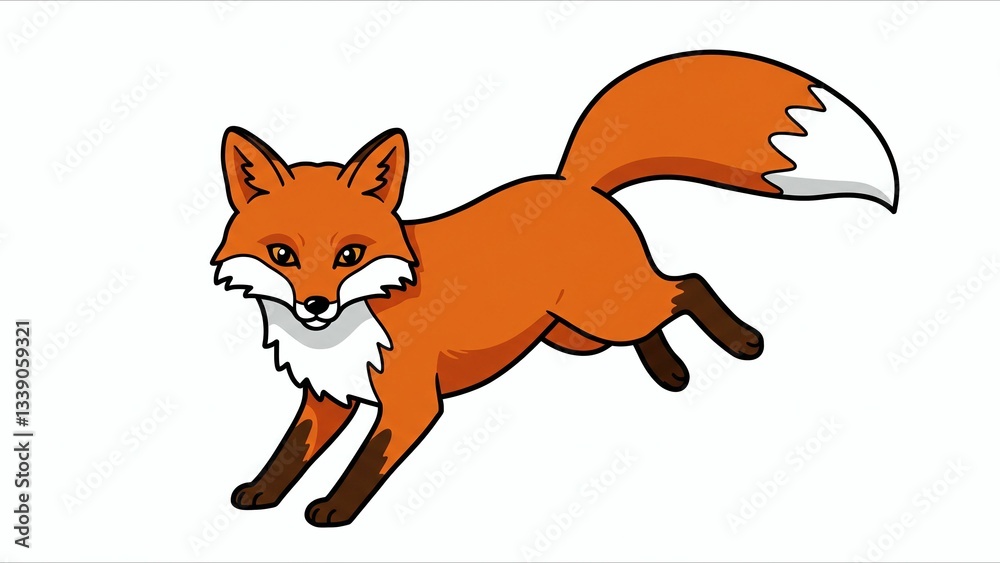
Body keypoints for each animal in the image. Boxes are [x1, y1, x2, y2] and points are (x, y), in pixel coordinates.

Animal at [212, 50, 897, 527]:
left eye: (350, 255)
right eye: (283, 255)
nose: (316, 305)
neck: (357, 322)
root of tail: (575, 181)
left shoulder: (410, 401)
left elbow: (366, 463)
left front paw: (335, 510)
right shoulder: (327, 397)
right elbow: (289, 452)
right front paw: (261, 494)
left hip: (600, 316)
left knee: (687, 285)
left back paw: (742, 341)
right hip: (575, 334)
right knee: (657, 315)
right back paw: (671, 373)